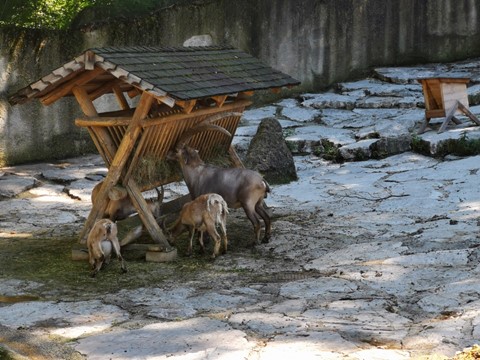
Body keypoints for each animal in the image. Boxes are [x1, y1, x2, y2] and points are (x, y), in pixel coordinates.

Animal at [167, 112, 272, 248]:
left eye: (176, 150)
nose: (167, 154)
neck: (196, 173)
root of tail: (262, 181)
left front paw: (204, 241)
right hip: (258, 203)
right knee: (267, 218)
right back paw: (266, 238)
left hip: (248, 204)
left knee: (257, 222)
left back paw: (255, 242)